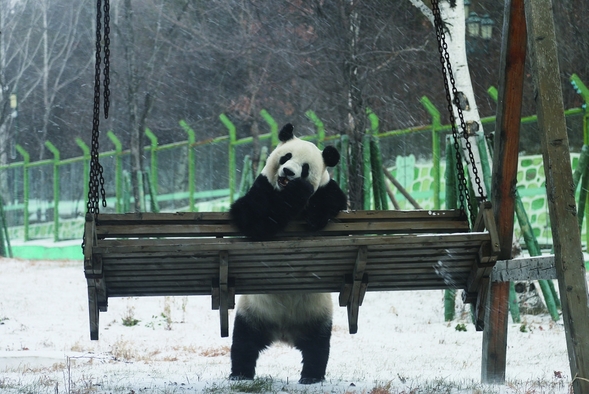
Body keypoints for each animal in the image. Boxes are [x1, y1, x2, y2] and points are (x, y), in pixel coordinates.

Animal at [227, 122, 346, 382]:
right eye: (286, 157)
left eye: (305, 167)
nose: (289, 172)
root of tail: (283, 331)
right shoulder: (261, 188)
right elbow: (253, 217)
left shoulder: (328, 191)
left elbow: (333, 202)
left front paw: (314, 214)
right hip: (252, 312)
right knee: (244, 342)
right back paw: (240, 374)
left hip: (318, 316)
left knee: (317, 347)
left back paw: (311, 376)